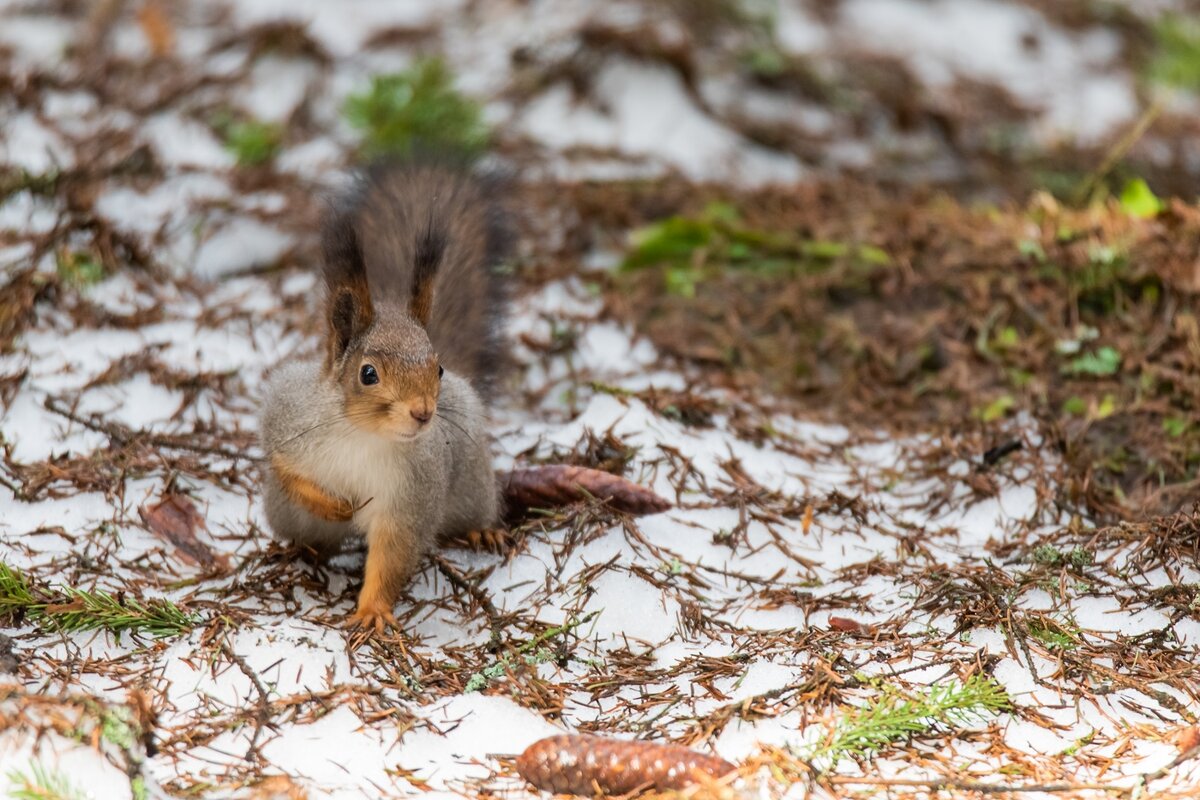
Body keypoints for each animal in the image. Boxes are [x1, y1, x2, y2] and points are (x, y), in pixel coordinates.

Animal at [260, 158, 508, 633]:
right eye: (368, 373)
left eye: (438, 369)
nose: (423, 412)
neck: (365, 435)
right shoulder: (288, 418)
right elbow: (286, 468)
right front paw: (334, 504)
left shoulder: (411, 495)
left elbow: (393, 553)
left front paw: (372, 610)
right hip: (287, 513)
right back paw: (301, 549)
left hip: (471, 480)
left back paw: (483, 530)